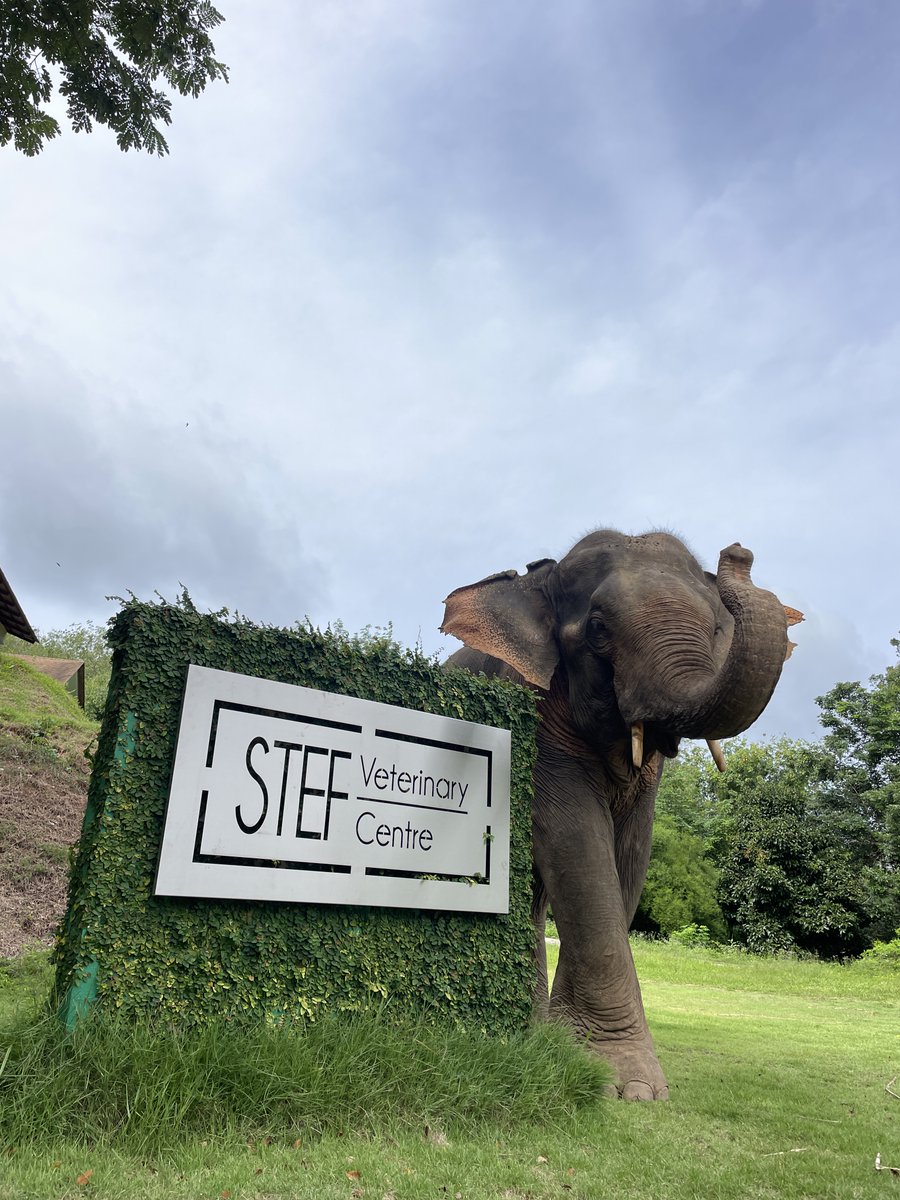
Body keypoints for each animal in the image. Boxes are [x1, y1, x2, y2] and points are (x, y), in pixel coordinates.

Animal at [441, 529, 800, 1100]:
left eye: (717, 629)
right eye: (597, 629)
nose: (738, 553)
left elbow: (631, 852)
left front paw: (580, 1052)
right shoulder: (537, 721)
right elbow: (576, 842)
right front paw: (630, 1086)